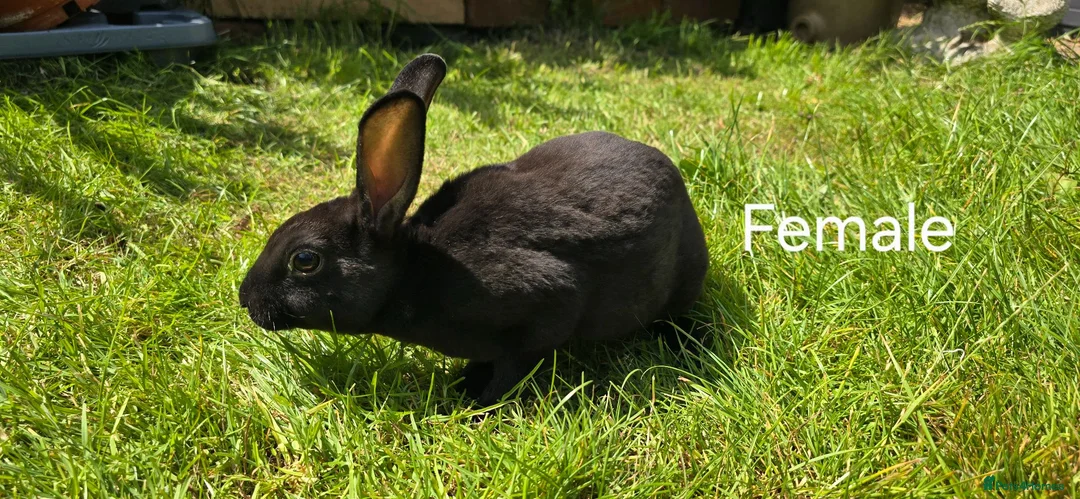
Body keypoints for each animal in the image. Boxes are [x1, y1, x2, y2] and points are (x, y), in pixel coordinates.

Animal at [238, 53, 709, 406]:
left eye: (305, 260)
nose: (246, 298)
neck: (412, 272)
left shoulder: (547, 303)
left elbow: (515, 366)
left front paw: (478, 405)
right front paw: (465, 385)